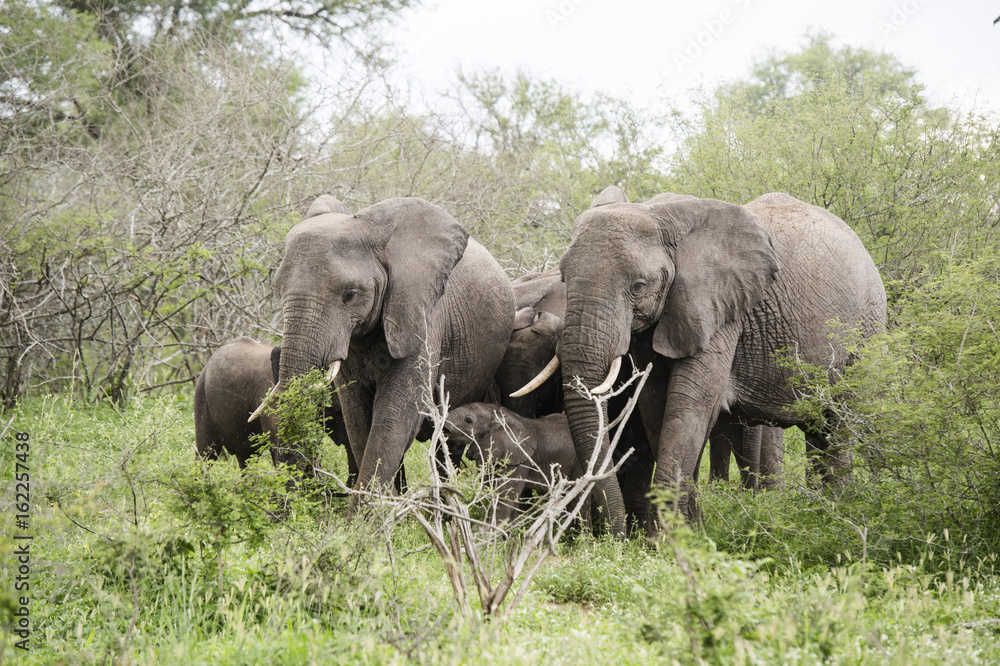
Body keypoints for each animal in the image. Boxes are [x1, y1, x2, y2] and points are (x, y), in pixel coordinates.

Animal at [265, 195, 514, 513]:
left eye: (350, 295)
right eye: (277, 288)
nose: (282, 513)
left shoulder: (421, 314)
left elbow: (394, 414)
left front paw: (364, 521)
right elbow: (357, 416)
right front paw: (381, 511)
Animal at [531, 186, 885, 533]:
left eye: (638, 285)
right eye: (563, 279)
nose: (615, 537)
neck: (661, 215)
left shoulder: (722, 309)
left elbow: (692, 405)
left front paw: (668, 539)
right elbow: (656, 405)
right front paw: (692, 531)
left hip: (865, 332)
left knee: (840, 421)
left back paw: (834, 517)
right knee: (818, 429)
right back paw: (818, 510)